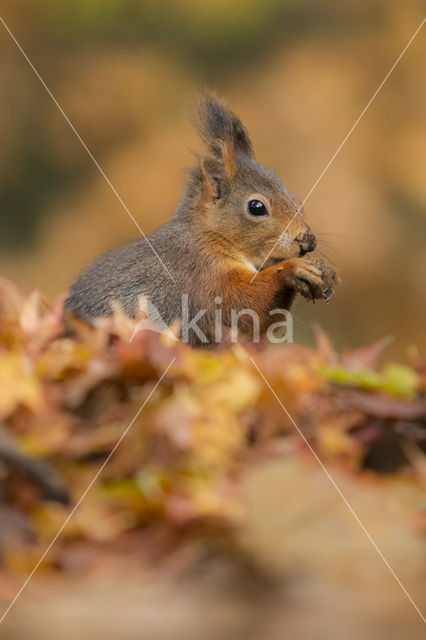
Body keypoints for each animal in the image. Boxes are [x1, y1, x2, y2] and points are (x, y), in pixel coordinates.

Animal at [65, 91, 340, 344]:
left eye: (295, 196)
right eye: (256, 207)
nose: (309, 242)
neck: (210, 236)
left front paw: (325, 270)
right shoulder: (201, 275)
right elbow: (238, 307)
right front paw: (293, 269)